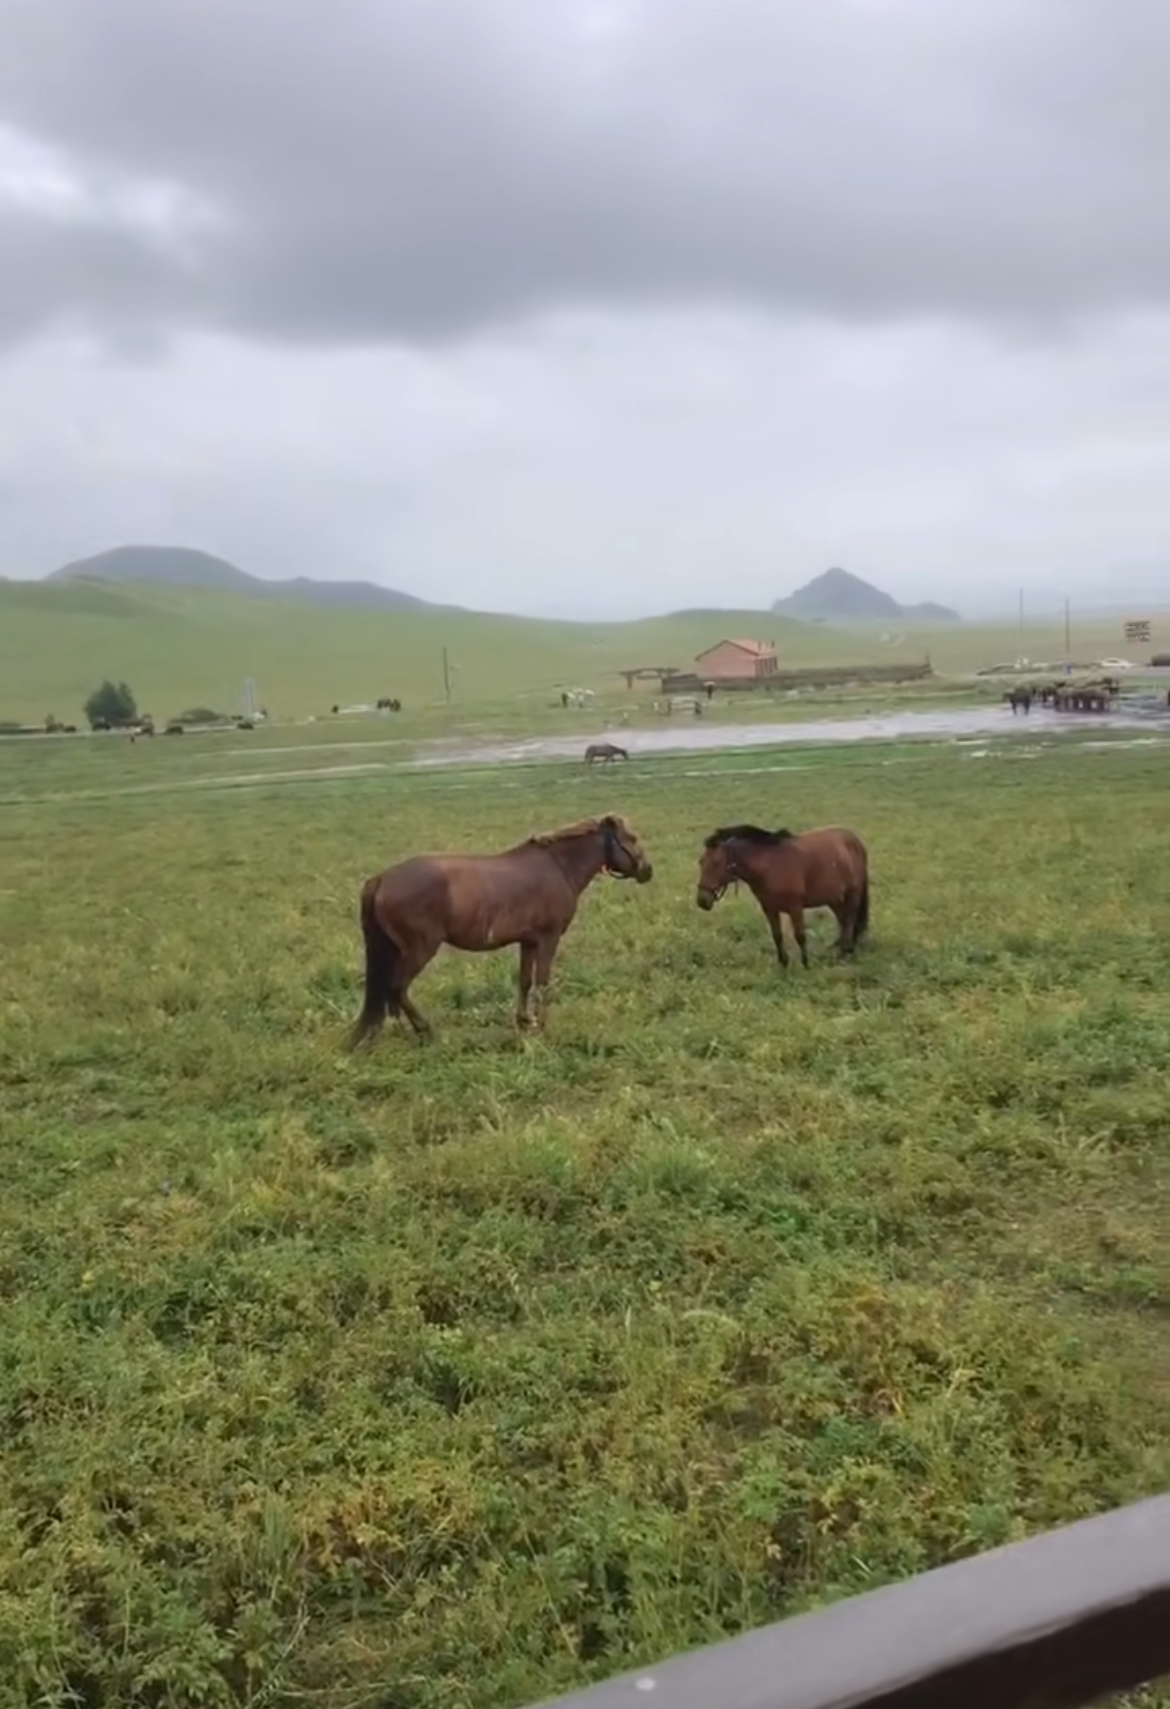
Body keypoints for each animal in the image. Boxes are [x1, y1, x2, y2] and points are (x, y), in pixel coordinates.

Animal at [346, 813, 655, 1039]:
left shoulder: (528, 941)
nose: (647, 871)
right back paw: (425, 1030)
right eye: (631, 838)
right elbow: (542, 981)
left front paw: (523, 1021)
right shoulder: (548, 939)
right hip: (419, 950)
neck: (558, 866)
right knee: (397, 988)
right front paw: (541, 1025)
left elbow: (525, 981)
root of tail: (381, 879)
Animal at [693, 820, 867, 970]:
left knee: (850, 920)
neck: (769, 866)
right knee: (843, 921)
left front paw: (806, 965)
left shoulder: (795, 907)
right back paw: (843, 949)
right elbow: (777, 935)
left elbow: (800, 935)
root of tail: (854, 841)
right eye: (701, 862)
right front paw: (783, 963)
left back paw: (846, 952)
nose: (702, 900)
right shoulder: (769, 908)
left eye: (717, 862)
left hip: (852, 894)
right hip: (834, 899)